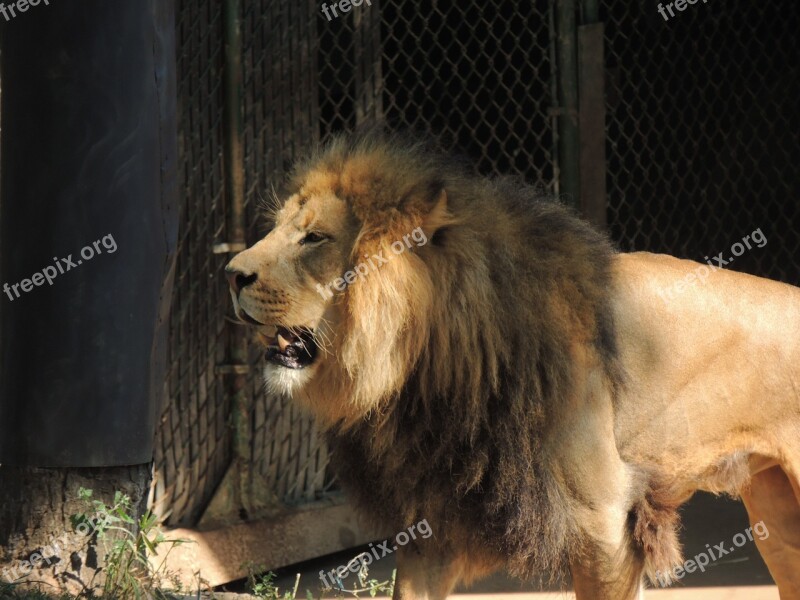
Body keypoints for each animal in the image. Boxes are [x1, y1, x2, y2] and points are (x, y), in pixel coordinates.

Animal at [225, 132, 800, 600]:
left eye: (315, 238)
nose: (229, 273)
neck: (429, 373)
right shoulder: (434, 521)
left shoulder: (604, 522)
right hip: (778, 518)